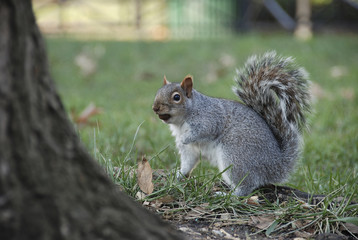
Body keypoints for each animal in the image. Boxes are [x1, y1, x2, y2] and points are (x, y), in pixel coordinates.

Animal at [151, 51, 310, 196]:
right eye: (157, 92)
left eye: (176, 97)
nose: (155, 108)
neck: (181, 122)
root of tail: (276, 165)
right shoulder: (190, 150)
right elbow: (187, 164)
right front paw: (178, 174)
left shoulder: (209, 119)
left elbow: (202, 131)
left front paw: (185, 138)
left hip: (235, 155)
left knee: (246, 187)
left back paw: (227, 195)